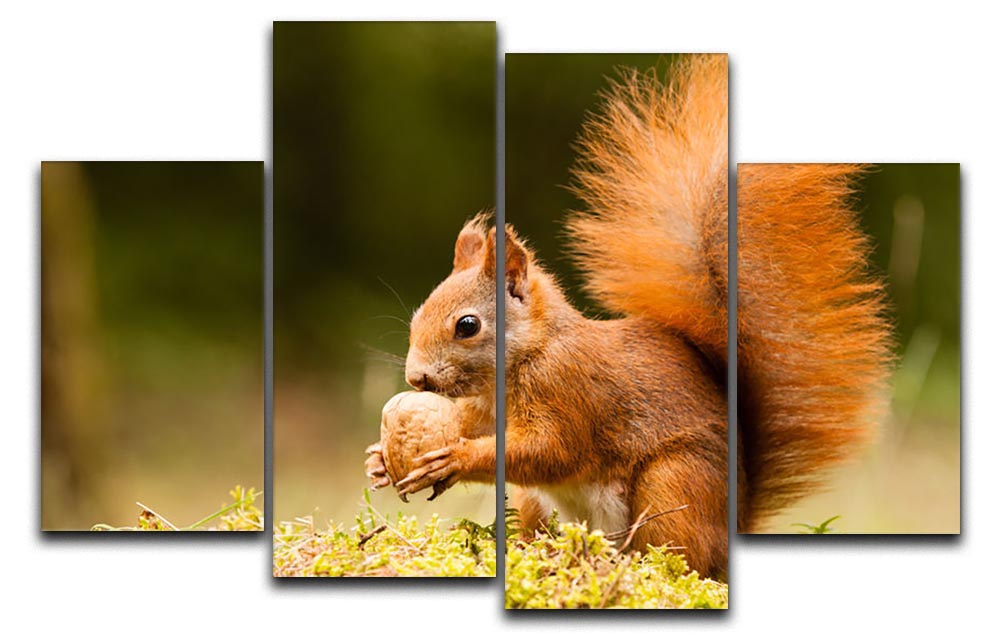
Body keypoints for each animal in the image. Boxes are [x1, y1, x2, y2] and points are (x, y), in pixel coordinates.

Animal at [365, 54, 892, 580]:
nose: (415, 379)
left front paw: (455, 458)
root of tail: (736, 526)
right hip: (540, 503)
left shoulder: (569, 392)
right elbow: (473, 426)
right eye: (418, 315)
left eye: (467, 325)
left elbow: (549, 451)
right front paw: (379, 460)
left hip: (673, 483)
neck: (529, 354)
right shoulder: (481, 408)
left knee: (679, 556)